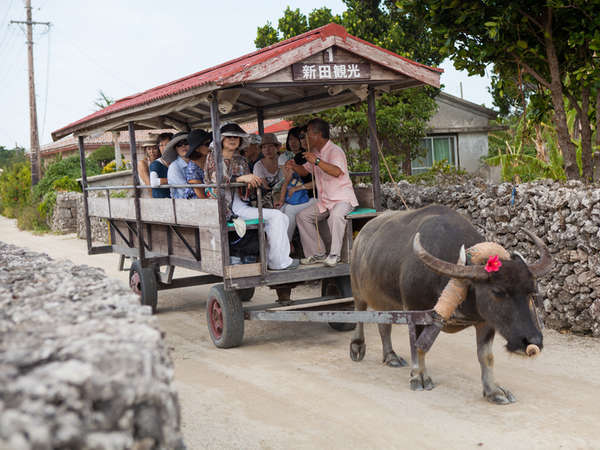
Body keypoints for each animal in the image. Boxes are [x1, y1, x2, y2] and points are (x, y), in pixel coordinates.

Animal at [350, 204, 552, 404]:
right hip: (357, 289)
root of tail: (361, 235)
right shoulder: (415, 312)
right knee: (359, 314)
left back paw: (390, 356)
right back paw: (357, 347)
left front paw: (493, 390)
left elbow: (486, 356)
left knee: (383, 325)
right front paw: (419, 376)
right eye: (497, 292)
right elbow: (418, 348)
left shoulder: (486, 321)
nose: (533, 341)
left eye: (531, 291)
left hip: (385, 302)